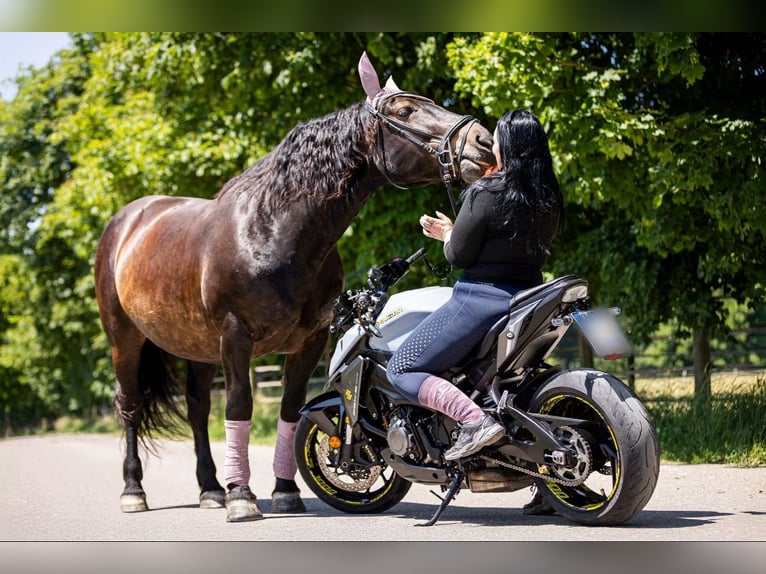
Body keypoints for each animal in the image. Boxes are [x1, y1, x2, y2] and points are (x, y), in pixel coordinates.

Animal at [94, 51, 496, 522]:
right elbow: (240, 406)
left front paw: (285, 490)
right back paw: (135, 490)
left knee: (197, 408)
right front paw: (242, 497)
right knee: (131, 405)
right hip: (125, 340)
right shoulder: (235, 337)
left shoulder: (310, 340)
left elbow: (290, 408)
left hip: (198, 347)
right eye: (404, 110)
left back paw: (210, 489)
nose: (484, 141)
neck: (272, 230)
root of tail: (128, 221)